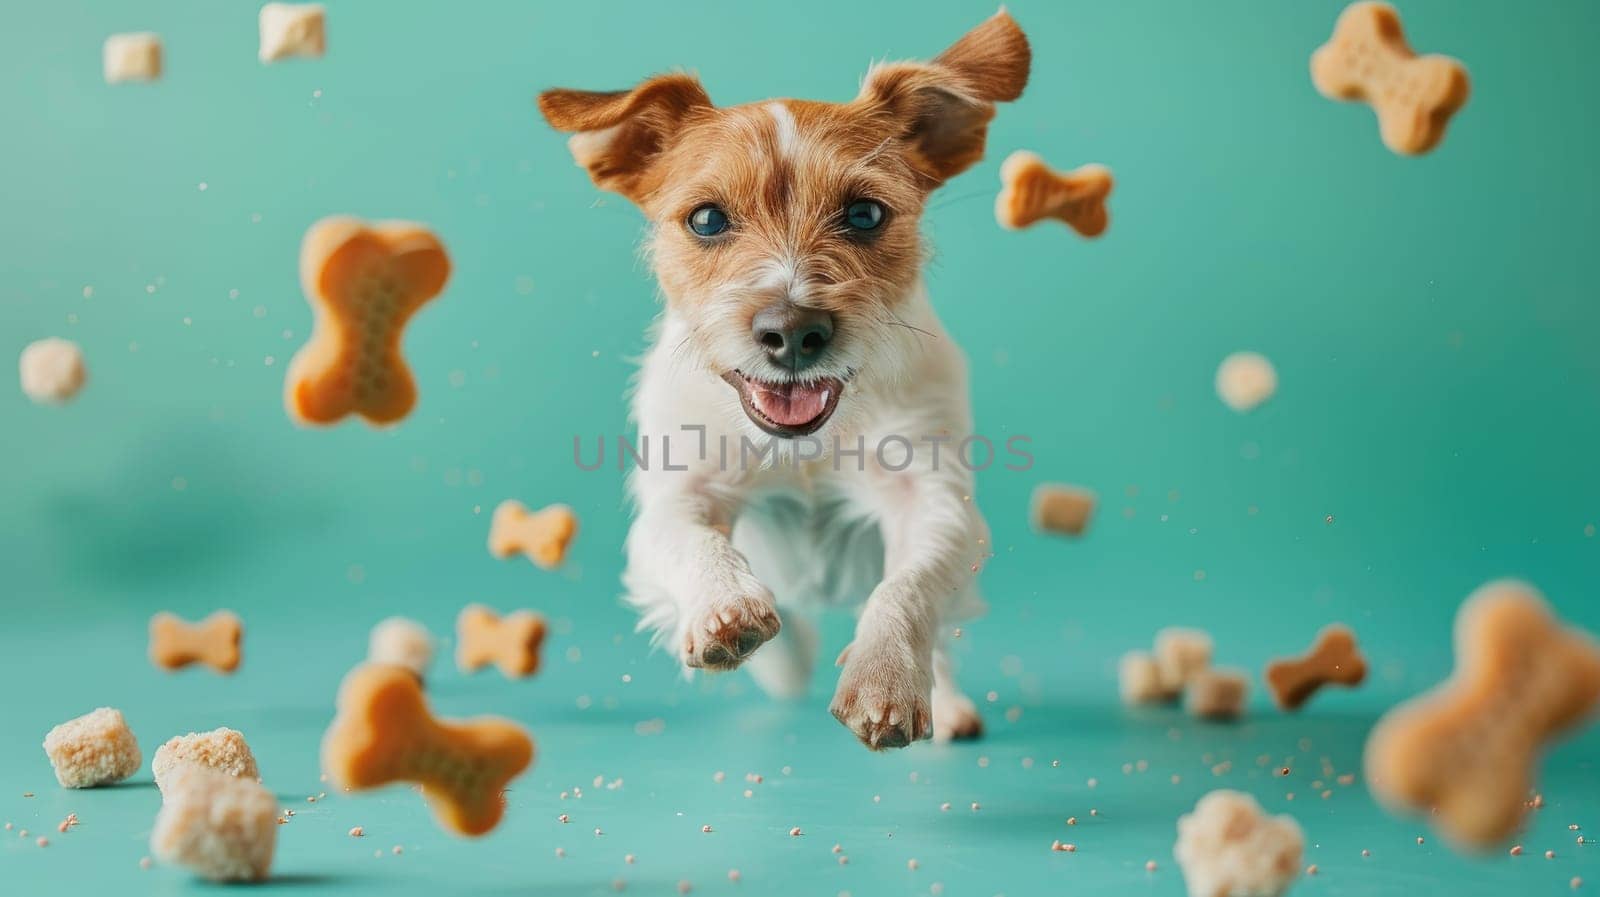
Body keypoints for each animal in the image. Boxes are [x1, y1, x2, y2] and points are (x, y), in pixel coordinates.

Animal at [544, 10, 1030, 748]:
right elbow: (693, 541)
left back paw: (946, 702)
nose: (793, 331)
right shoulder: (677, 497)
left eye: (865, 214)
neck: (806, 446)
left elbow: (909, 586)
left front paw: (885, 678)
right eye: (707, 219)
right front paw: (724, 608)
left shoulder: (935, 501)